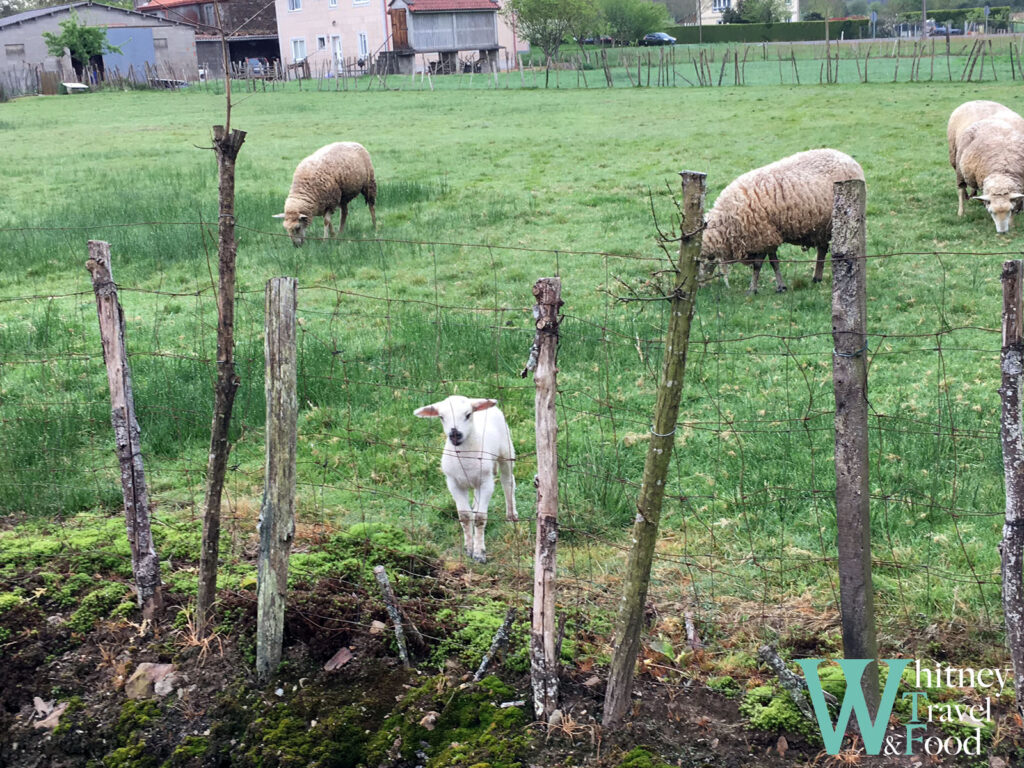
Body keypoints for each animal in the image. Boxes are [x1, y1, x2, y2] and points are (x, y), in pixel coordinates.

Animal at [411, 397, 516, 565]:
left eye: (467, 415)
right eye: (441, 417)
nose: (454, 434)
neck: (465, 458)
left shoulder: (486, 483)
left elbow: (480, 517)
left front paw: (479, 553)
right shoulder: (454, 483)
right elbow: (465, 516)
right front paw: (468, 549)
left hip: (506, 451)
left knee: (508, 483)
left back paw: (511, 516)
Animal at [696, 148, 864, 294]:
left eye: (705, 260)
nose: (700, 285)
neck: (728, 222)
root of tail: (849, 159)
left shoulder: (762, 236)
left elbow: (758, 265)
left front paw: (752, 289)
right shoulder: (769, 235)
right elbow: (774, 263)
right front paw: (781, 287)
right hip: (821, 226)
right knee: (822, 249)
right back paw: (817, 278)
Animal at [946, 100, 1024, 231]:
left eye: (1009, 210)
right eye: (991, 212)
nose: (1002, 231)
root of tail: (975, 101)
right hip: (956, 160)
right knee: (961, 188)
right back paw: (961, 211)